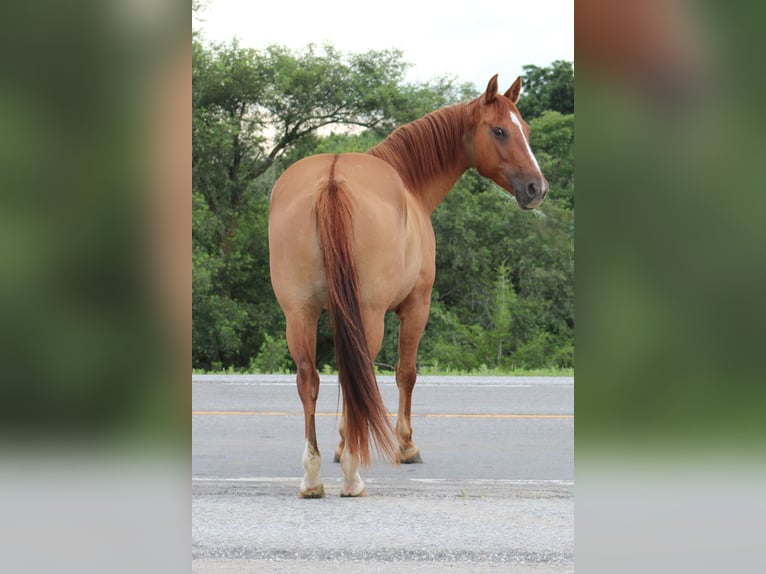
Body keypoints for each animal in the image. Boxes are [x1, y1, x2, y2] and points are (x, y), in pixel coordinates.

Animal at [268, 74, 548, 497]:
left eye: (525, 130)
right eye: (499, 130)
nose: (537, 188)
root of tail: (332, 178)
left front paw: (341, 443)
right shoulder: (416, 305)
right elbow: (406, 373)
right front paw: (405, 444)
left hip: (299, 313)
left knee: (309, 379)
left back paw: (313, 476)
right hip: (369, 315)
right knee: (358, 374)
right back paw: (353, 474)